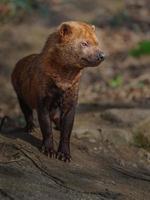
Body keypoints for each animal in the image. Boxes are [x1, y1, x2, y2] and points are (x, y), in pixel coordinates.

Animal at [11, 21, 105, 162]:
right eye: (84, 43)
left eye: (97, 42)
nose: (102, 55)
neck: (63, 81)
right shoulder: (42, 100)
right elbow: (46, 128)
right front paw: (48, 150)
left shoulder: (71, 101)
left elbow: (67, 131)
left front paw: (64, 155)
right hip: (21, 96)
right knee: (27, 112)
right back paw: (30, 127)